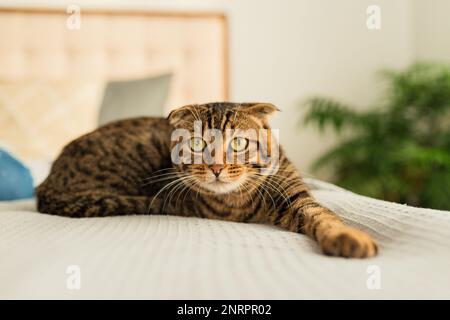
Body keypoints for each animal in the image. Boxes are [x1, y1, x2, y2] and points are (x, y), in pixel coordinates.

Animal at [37, 102, 378, 258]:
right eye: (198, 144)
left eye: (238, 143)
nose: (215, 167)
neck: (241, 199)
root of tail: (45, 185)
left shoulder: (296, 197)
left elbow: (324, 217)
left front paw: (348, 237)